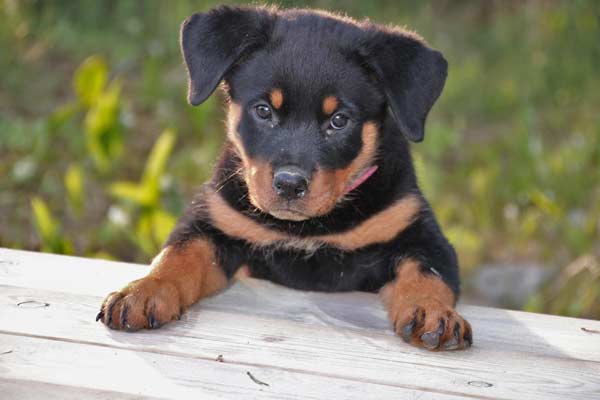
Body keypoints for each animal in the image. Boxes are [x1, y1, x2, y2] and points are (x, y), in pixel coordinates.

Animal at [97, 5, 474, 350]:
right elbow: (177, 255)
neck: (307, 230)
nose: (290, 184)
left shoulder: (421, 235)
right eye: (264, 110)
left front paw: (433, 313)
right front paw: (143, 292)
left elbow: (427, 275)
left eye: (339, 120)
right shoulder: (214, 223)